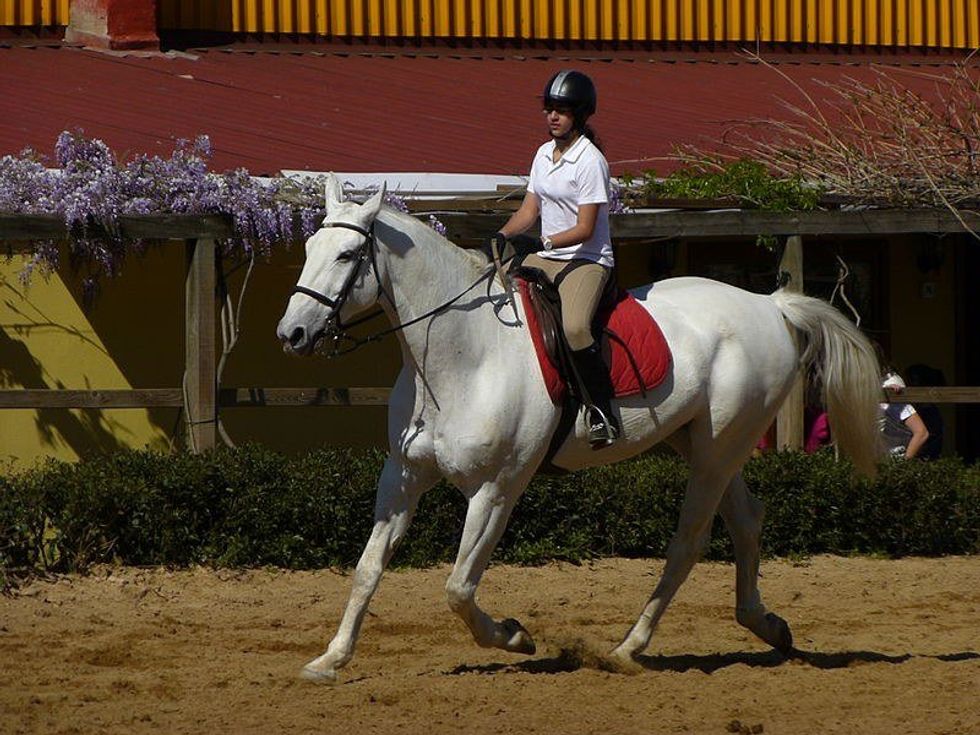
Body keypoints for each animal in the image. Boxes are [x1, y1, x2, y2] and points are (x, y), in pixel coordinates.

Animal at [276, 174, 882, 682]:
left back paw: (629, 648)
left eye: (348, 254)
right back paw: (767, 626)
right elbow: (367, 569)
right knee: (747, 520)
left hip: (717, 450)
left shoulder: (497, 489)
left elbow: (457, 588)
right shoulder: (402, 476)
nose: (293, 333)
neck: (462, 355)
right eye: (307, 252)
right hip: (705, 444)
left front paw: (515, 636)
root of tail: (769, 304)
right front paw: (330, 660)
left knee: (688, 543)